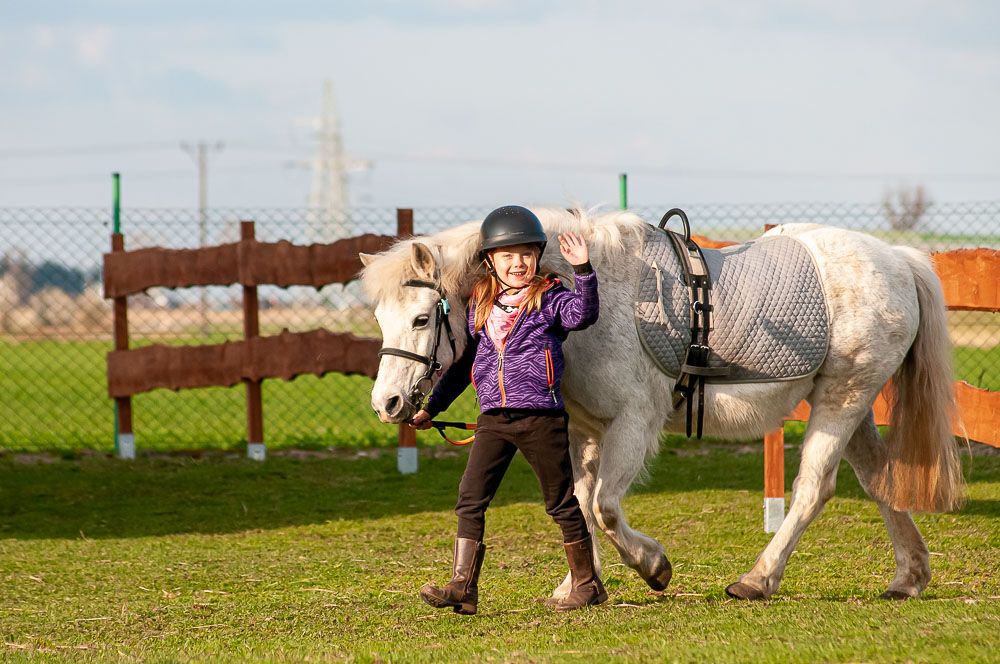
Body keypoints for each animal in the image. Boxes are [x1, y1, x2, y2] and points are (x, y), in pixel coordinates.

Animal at [360, 209, 960, 600]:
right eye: (381, 318)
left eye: (421, 318)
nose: (387, 403)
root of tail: (897, 258)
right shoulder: (583, 430)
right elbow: (580, 504)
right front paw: (579, 586)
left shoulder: (632, 423)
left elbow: (604, 506)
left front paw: (652, 567)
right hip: (850, 404)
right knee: (878, 479)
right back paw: (909, 577)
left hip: (842, 399)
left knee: (815, 488)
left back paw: (757, 580)